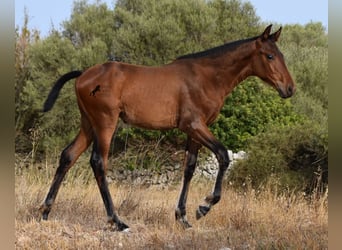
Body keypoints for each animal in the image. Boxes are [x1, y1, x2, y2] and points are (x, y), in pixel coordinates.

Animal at [40, 24, 296, 230]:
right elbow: (223, 156)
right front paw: (204, 206)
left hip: (88, 124)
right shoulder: (194, 125)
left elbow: (189, 168)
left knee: (68, 156)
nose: (290, 89)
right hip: (105, 123)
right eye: (269, 56)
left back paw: (45, 211)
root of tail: (84, 74)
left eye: (282, 55)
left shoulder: (195, 131)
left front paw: (182, 217)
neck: (206, 76)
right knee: (98, 163)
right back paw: (117, 221)